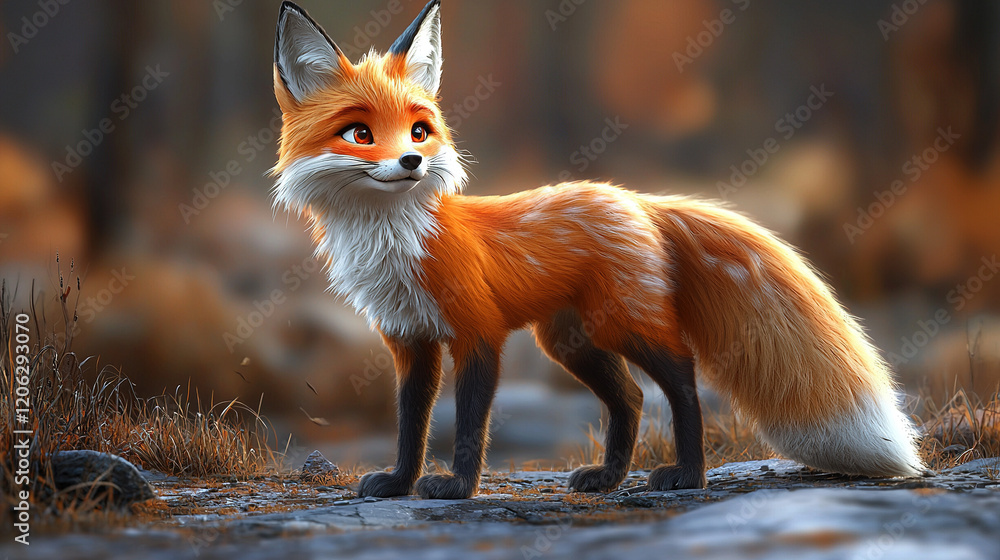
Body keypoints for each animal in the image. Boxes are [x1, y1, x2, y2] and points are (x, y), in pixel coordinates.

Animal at [270, 0, 924, 499]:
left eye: (419, 130)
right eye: (360, 133)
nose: (413, 162)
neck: (396, 240)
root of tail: (634, 198)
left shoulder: (478, 332)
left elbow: (470, 426)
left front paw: (456, 488)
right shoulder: (410, 340)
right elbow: (411, 423)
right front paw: (401, 484)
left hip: (622, 324)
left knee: (682, 379)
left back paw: (688, 475)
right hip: (570, 340)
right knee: (631, 397)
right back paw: (610, 477)